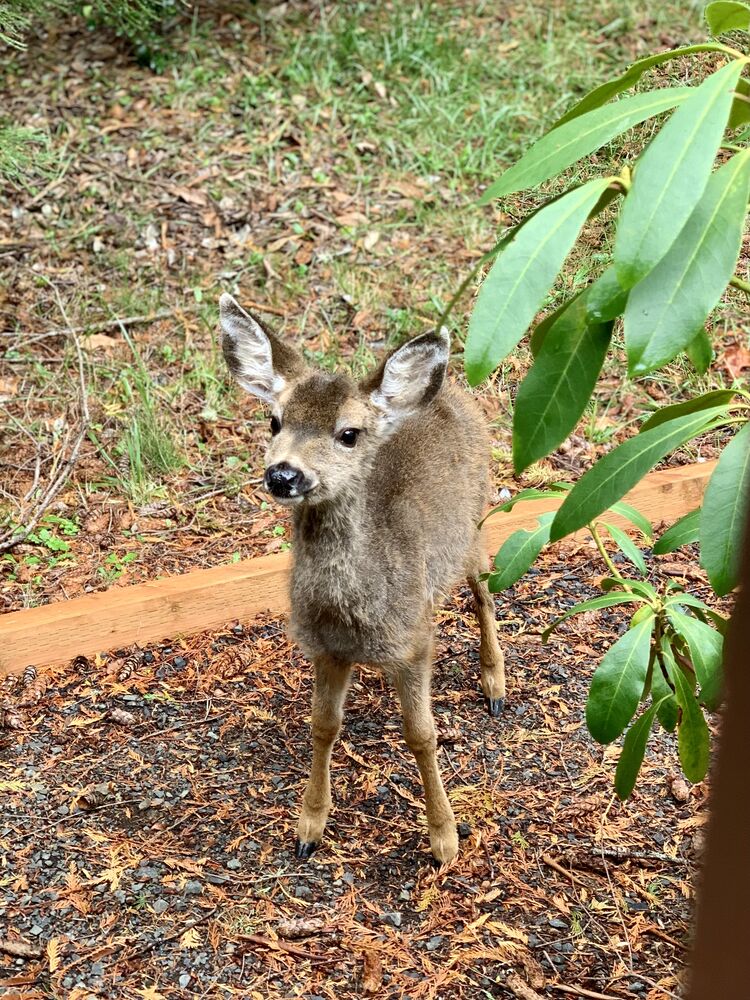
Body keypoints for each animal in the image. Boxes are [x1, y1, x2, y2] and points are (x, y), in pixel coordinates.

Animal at [219, 293, 506, 864]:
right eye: (274, 421)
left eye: (348, 434)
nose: (283, 474)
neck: (353, 611)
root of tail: (451, 390)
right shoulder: (325, 649)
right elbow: (322, 726)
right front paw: (310, 826)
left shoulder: (413, 646)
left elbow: (421, 734)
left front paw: (445, 838)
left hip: (476, 519)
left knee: (484, 592)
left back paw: (495, 683)